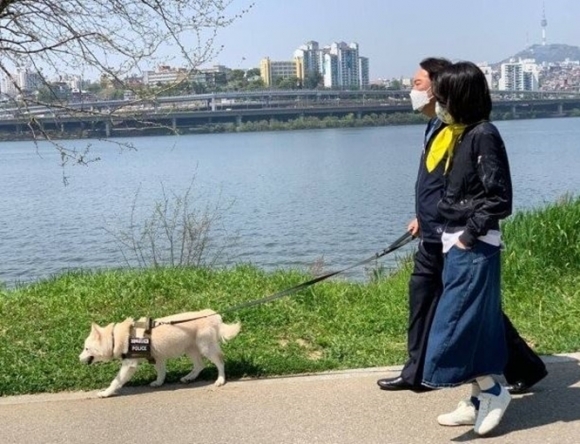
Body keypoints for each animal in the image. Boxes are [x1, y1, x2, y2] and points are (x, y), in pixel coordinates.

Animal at [78, 308, 240, 398]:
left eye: (86, 349)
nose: (78, 359)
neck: (116, 337)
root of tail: (211, 314)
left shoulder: (129, 365)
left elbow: (116, 381)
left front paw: (106, 392)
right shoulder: (157, 358)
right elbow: (161, 372)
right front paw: (159, 382)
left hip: (205, 347)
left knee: (220, 361)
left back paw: (220, 380)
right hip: (190, 349)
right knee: (200, 365)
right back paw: (189, 377)